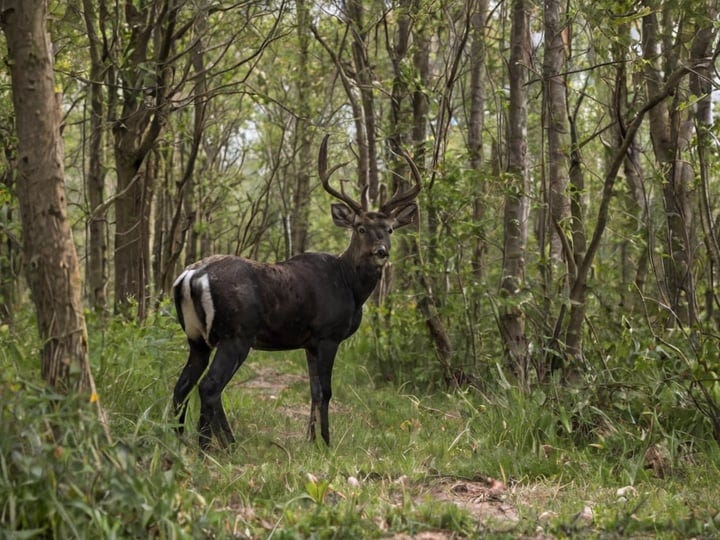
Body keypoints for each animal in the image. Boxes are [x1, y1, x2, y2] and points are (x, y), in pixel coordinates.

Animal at [173, 136, 422, 452]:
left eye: (389, 229)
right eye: (361, 228)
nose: (381, 252)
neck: (349, 285)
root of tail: (191, 276)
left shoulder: (309, 342)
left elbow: (314, 390)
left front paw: (310, 440)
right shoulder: (328, 334)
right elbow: (326, 391)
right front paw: (327, 444)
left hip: (196, 339)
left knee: (182, 386)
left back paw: (185, 439)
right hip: (236, 335)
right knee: (209, 387)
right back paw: (217, 446)